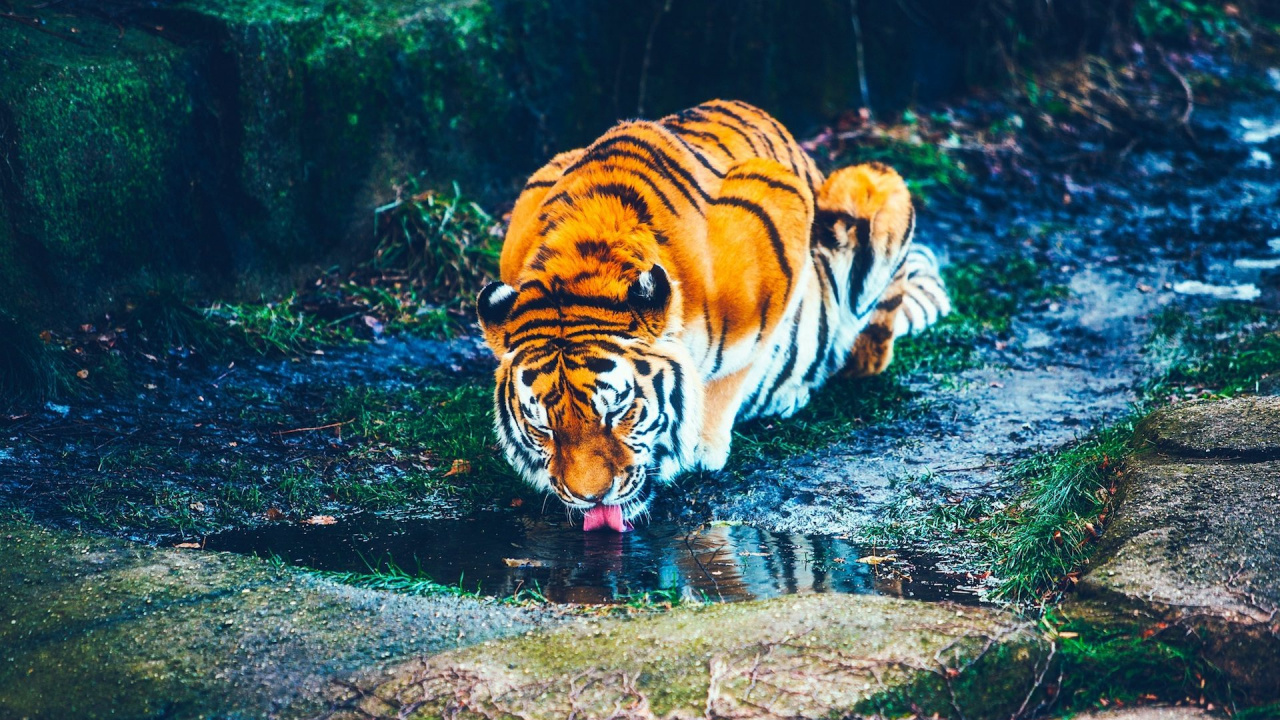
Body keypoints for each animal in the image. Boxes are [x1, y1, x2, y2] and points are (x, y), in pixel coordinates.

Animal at [477, 99, 950, 532]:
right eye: (543, 427)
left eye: (619, 412)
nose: (592, 497)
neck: (583, 259)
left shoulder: (780, 212)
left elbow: (736, 367)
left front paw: (703, 445)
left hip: (870, 184)